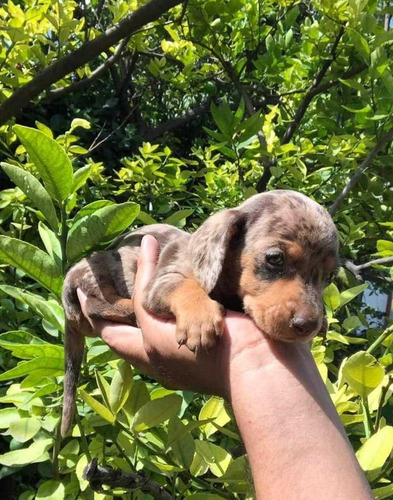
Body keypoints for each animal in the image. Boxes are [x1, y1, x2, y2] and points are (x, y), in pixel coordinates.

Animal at [59, 189, 338, 436]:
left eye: (330, 276)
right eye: (275, 258)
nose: (308, 324)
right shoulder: (160, 282)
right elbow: (186, 287)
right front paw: (200, 320)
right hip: (94, 269)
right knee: (94, 304)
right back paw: (128, 310)